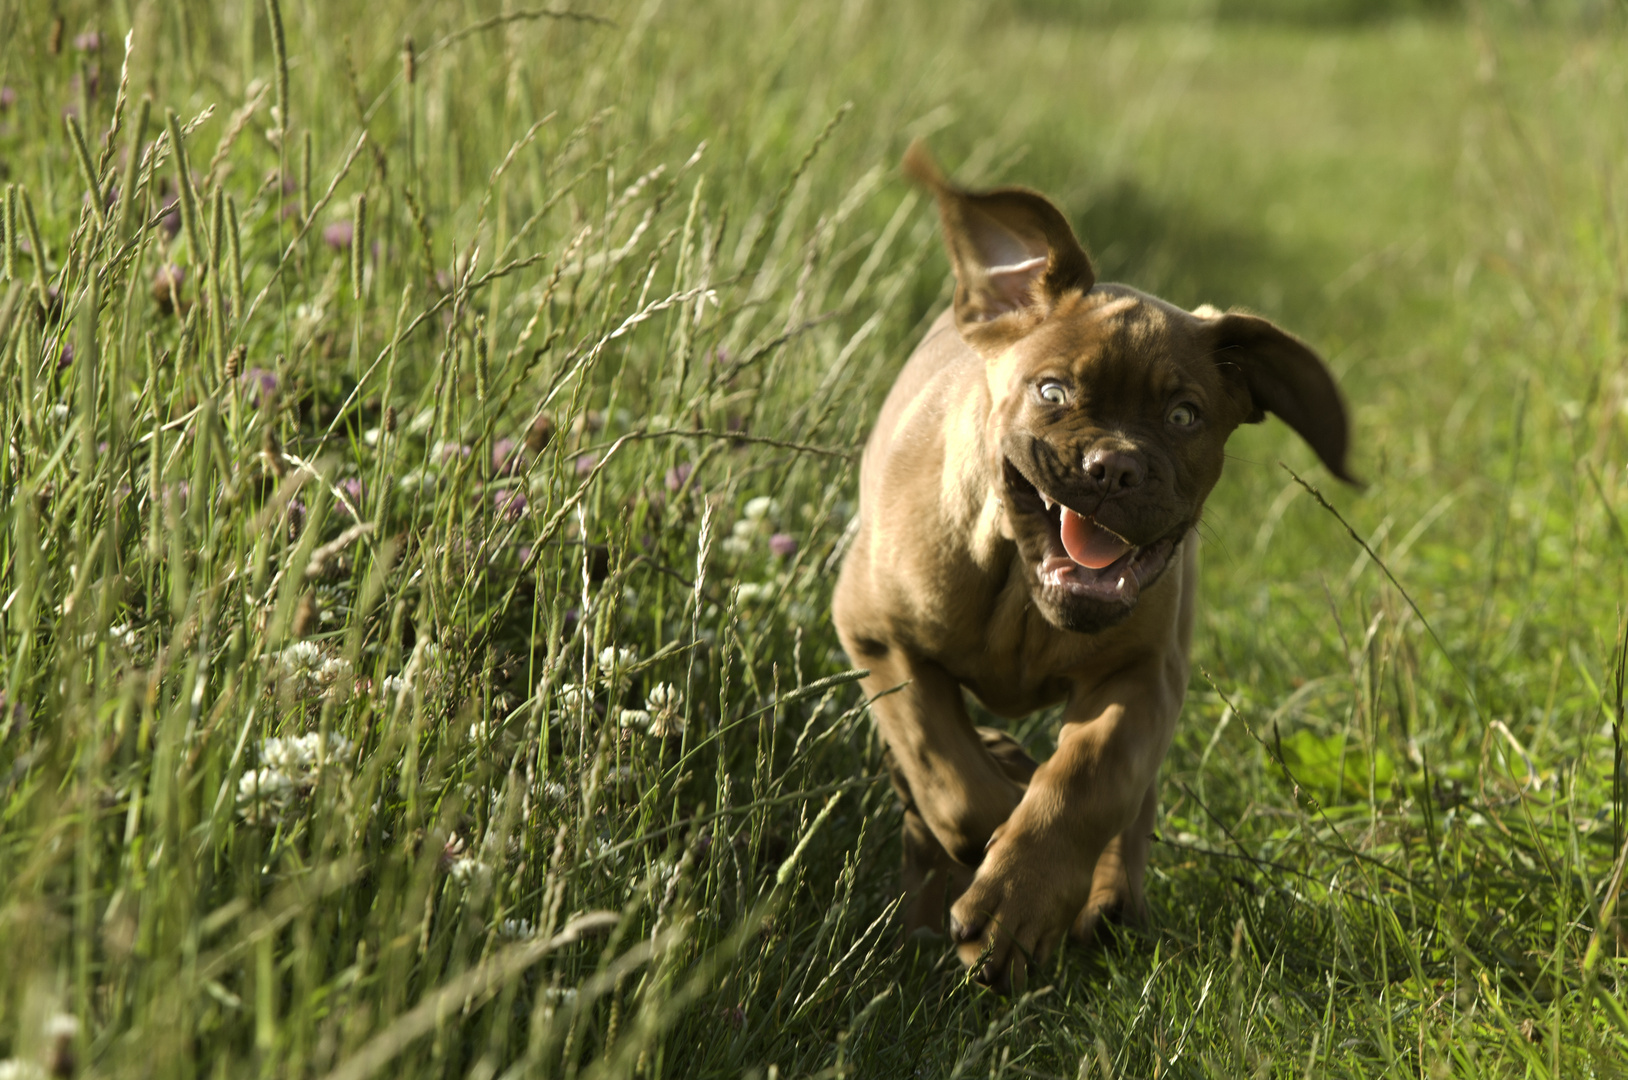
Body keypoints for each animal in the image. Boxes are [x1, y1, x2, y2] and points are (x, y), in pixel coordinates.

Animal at [833, 141, 1354, 990]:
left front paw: (1017, 897)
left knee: (1132, 805)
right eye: (1052, 391)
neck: (1018, 591)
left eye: (1184, 416)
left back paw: (1110, 907)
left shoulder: (1141, 676)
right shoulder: (876, 633)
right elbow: (942, 764)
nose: (1116, 467)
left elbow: (1091, 780)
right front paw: (994, 811)